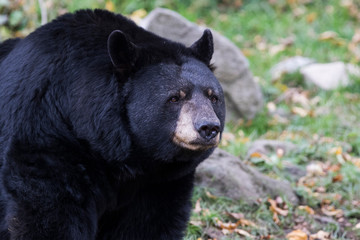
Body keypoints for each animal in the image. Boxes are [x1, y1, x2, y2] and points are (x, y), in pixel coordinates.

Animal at [0, 8, 225, 239]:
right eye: (174, 98)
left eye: (213, 97)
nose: (208, 127)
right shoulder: (47, 134)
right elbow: (50, 209)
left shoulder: (159, 182)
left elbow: (150, 222)